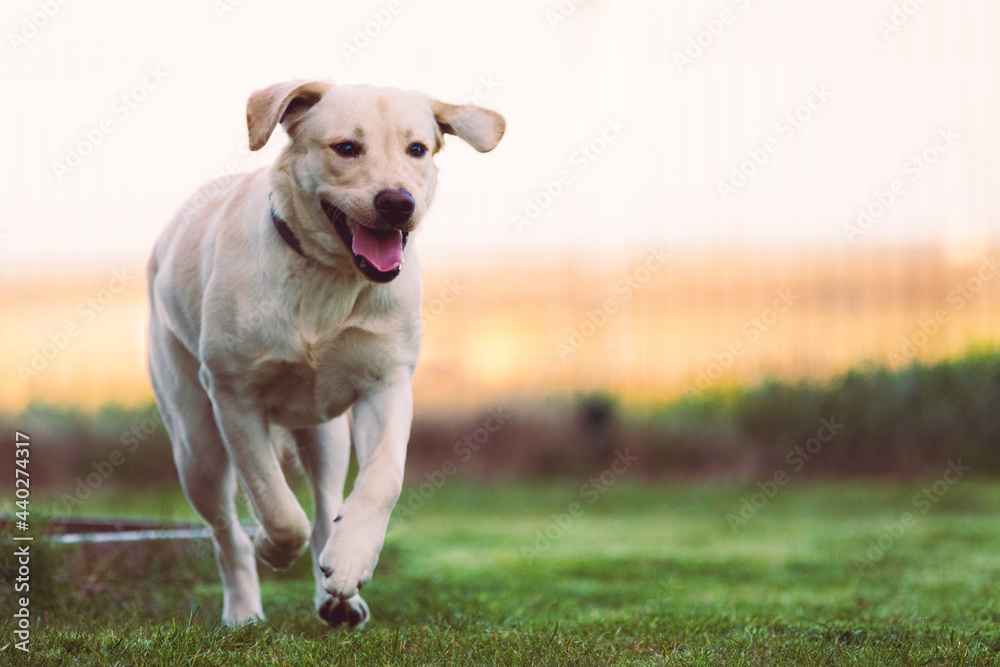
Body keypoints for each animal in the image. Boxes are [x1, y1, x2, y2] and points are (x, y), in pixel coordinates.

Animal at [146, 81, 508, 628]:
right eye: (346, 147)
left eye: (417, 149)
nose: (398, 203)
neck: (328, 275)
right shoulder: (234, 396)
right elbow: (274, 504)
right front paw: (272, 547)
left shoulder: (387, 383)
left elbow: (382, 479)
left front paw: (351, 561)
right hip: (194, 441)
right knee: (226, 531)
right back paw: (244, 610)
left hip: (325, 434)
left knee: (324, 505)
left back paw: (336, 593)